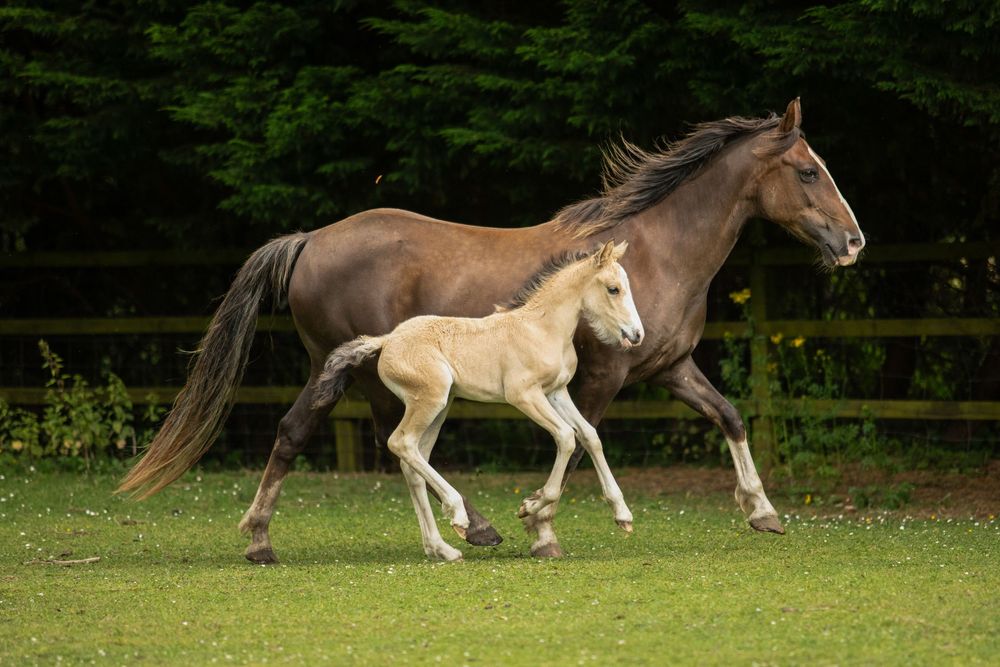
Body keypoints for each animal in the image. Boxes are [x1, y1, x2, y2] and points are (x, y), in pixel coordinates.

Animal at [311, 240, 642, 561]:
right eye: (613, 288)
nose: (637, 334)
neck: (541, 329)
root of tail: (386, 340)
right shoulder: (524, 395)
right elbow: (566, 436)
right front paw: (529, 506)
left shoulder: (557, 392)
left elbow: (589, 435)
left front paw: (623, 515)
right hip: (430, 399)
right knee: (401, 443)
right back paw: (458, 517)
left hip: (440, 407)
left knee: (413, 461)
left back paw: (442, 549)